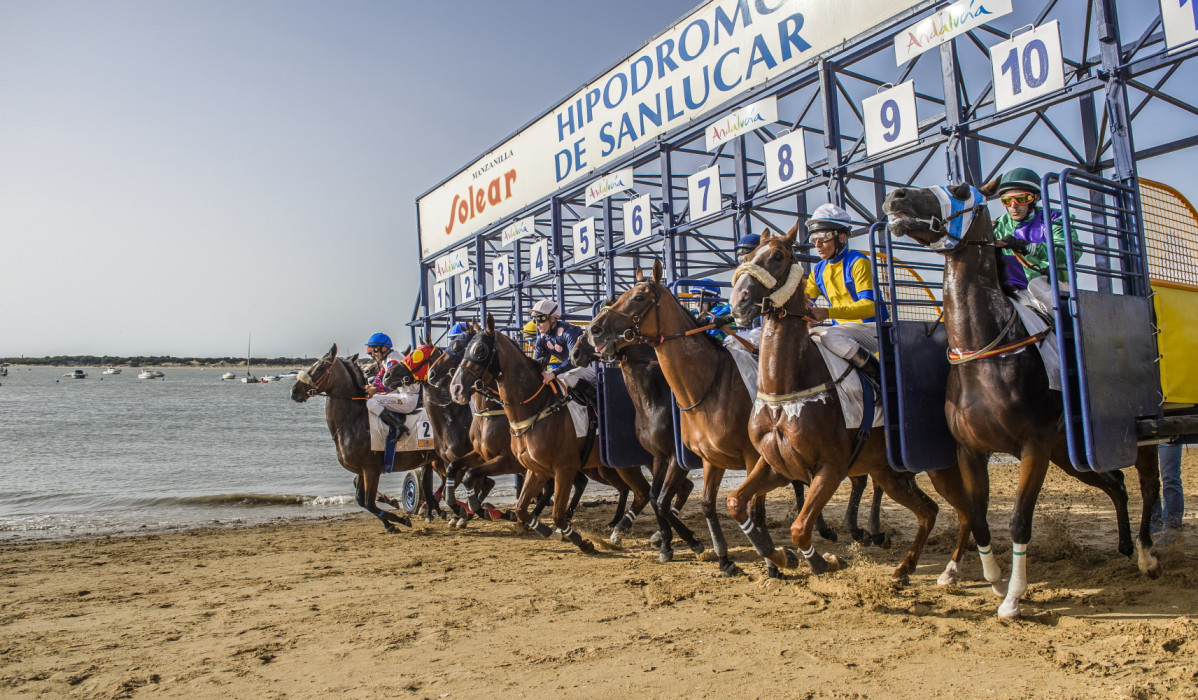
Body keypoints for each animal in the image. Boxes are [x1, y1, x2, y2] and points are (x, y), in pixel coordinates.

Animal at [289, 342, 436, 529]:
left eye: (320, 367)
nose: (294, 391)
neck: (354, 420)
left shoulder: (371, 469)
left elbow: (369, 502)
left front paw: (399, 520)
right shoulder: (361, 470)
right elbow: (361, 500)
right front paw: (389, 520)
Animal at [589, 260, 795, 577]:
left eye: (638, 297)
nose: (594, 329)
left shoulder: (733, 457)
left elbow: (748, 506)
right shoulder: (681, 457)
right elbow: (672, 499)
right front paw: (693, 550)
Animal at [723, 226, 977, 582]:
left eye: (777, 257)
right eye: (746, 256)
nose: (739, 302)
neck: (786, 388)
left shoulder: (831, 467)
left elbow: (800, 528)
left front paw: (825, 561)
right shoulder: (776, 464)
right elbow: (736, 503)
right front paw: (782, 556)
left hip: (940, 464)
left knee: (966, 511)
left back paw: (954, 569)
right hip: (891, 473)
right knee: (929, 511)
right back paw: (905, 568)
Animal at [881, 182, 1159, 618]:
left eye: (960, 188)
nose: (896, 196)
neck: (987, 354)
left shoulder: (1034, 446)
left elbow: (1018, 520)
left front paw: (1012, 598)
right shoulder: (970, 450)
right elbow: (978, 517)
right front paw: (994, 582)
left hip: (1138, 429)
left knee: (1148, 484)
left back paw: (1147, 554)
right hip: (1069, 454)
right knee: (1115, 483)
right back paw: (1126, 545)